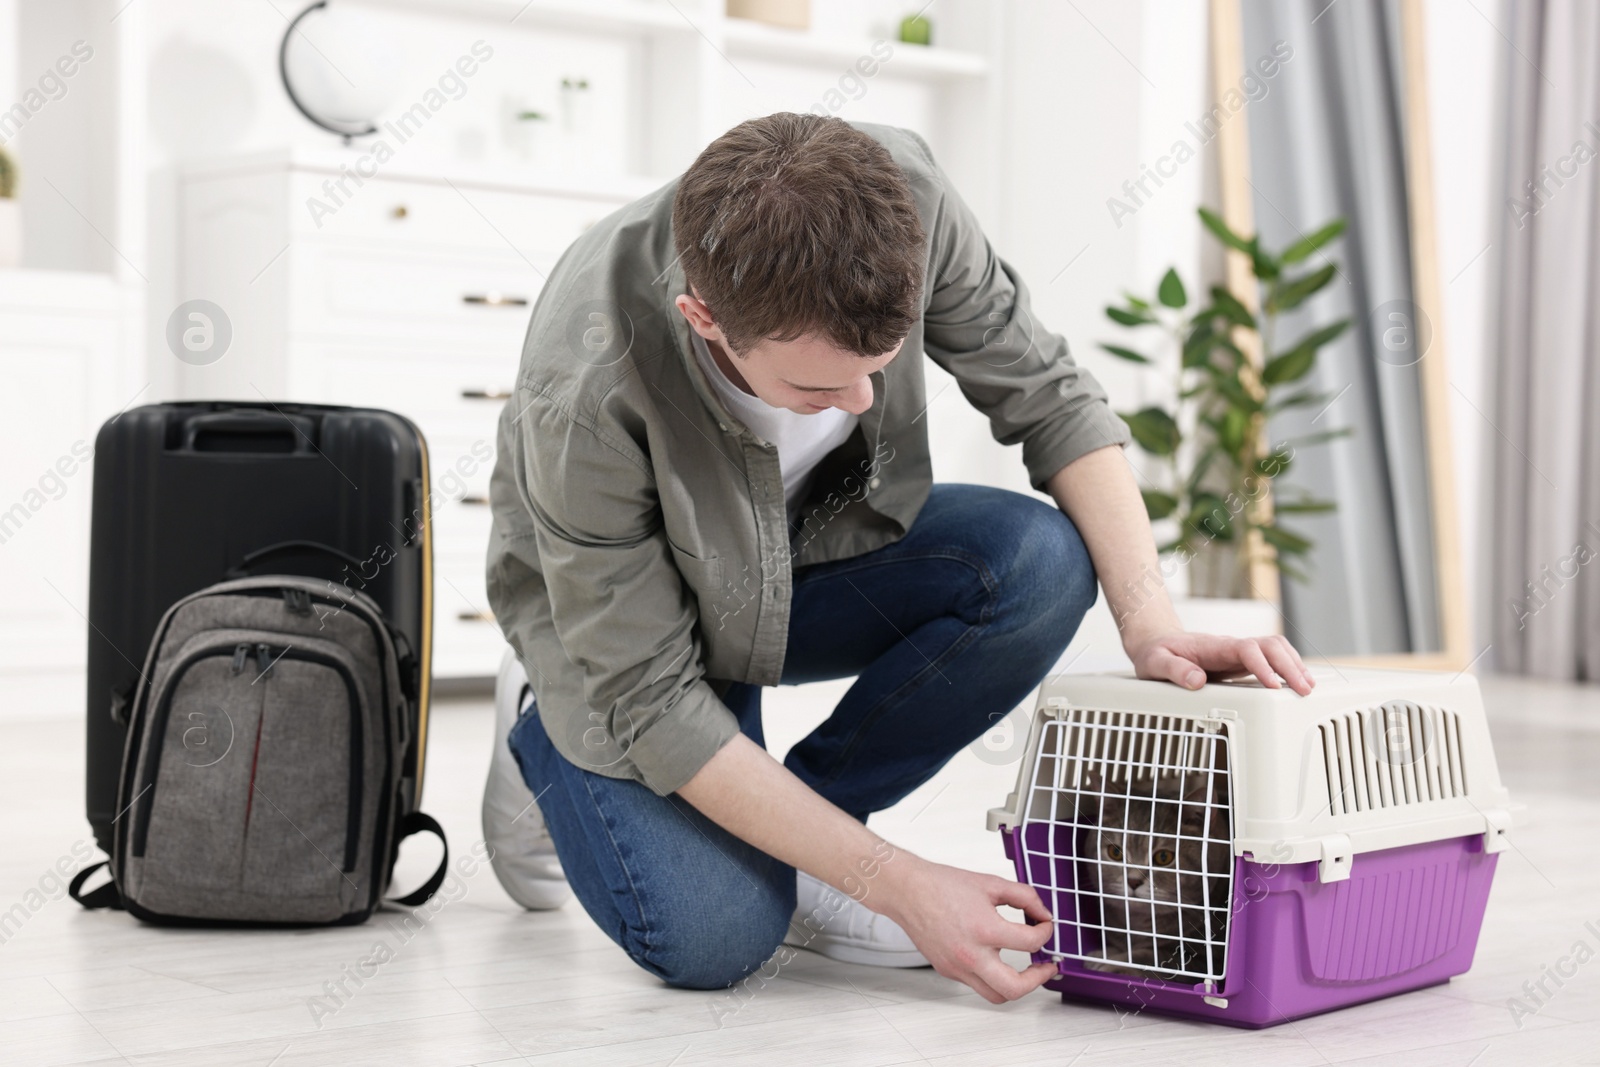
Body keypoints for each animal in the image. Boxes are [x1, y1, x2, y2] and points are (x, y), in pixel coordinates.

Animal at [1075, 767, 1235, 985]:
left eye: (1163, 857)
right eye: (1115, 852)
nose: (1133, 881)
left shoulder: (1203, 960)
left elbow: (1154, 957)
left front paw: (1112, 963)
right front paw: (1104, 953)